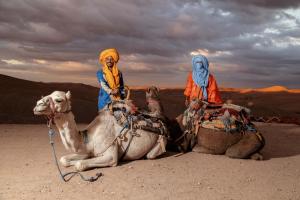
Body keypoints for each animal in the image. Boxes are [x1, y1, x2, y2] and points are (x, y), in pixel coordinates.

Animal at [34, 90, 169, 170]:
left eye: (59, 100)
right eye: (46, 95)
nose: (37, 105)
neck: (89, 137)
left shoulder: (111, 154)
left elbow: (80, 164)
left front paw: (78, 163)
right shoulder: (88, 150)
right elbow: (64, 160)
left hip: (160, 141)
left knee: (150, 155)